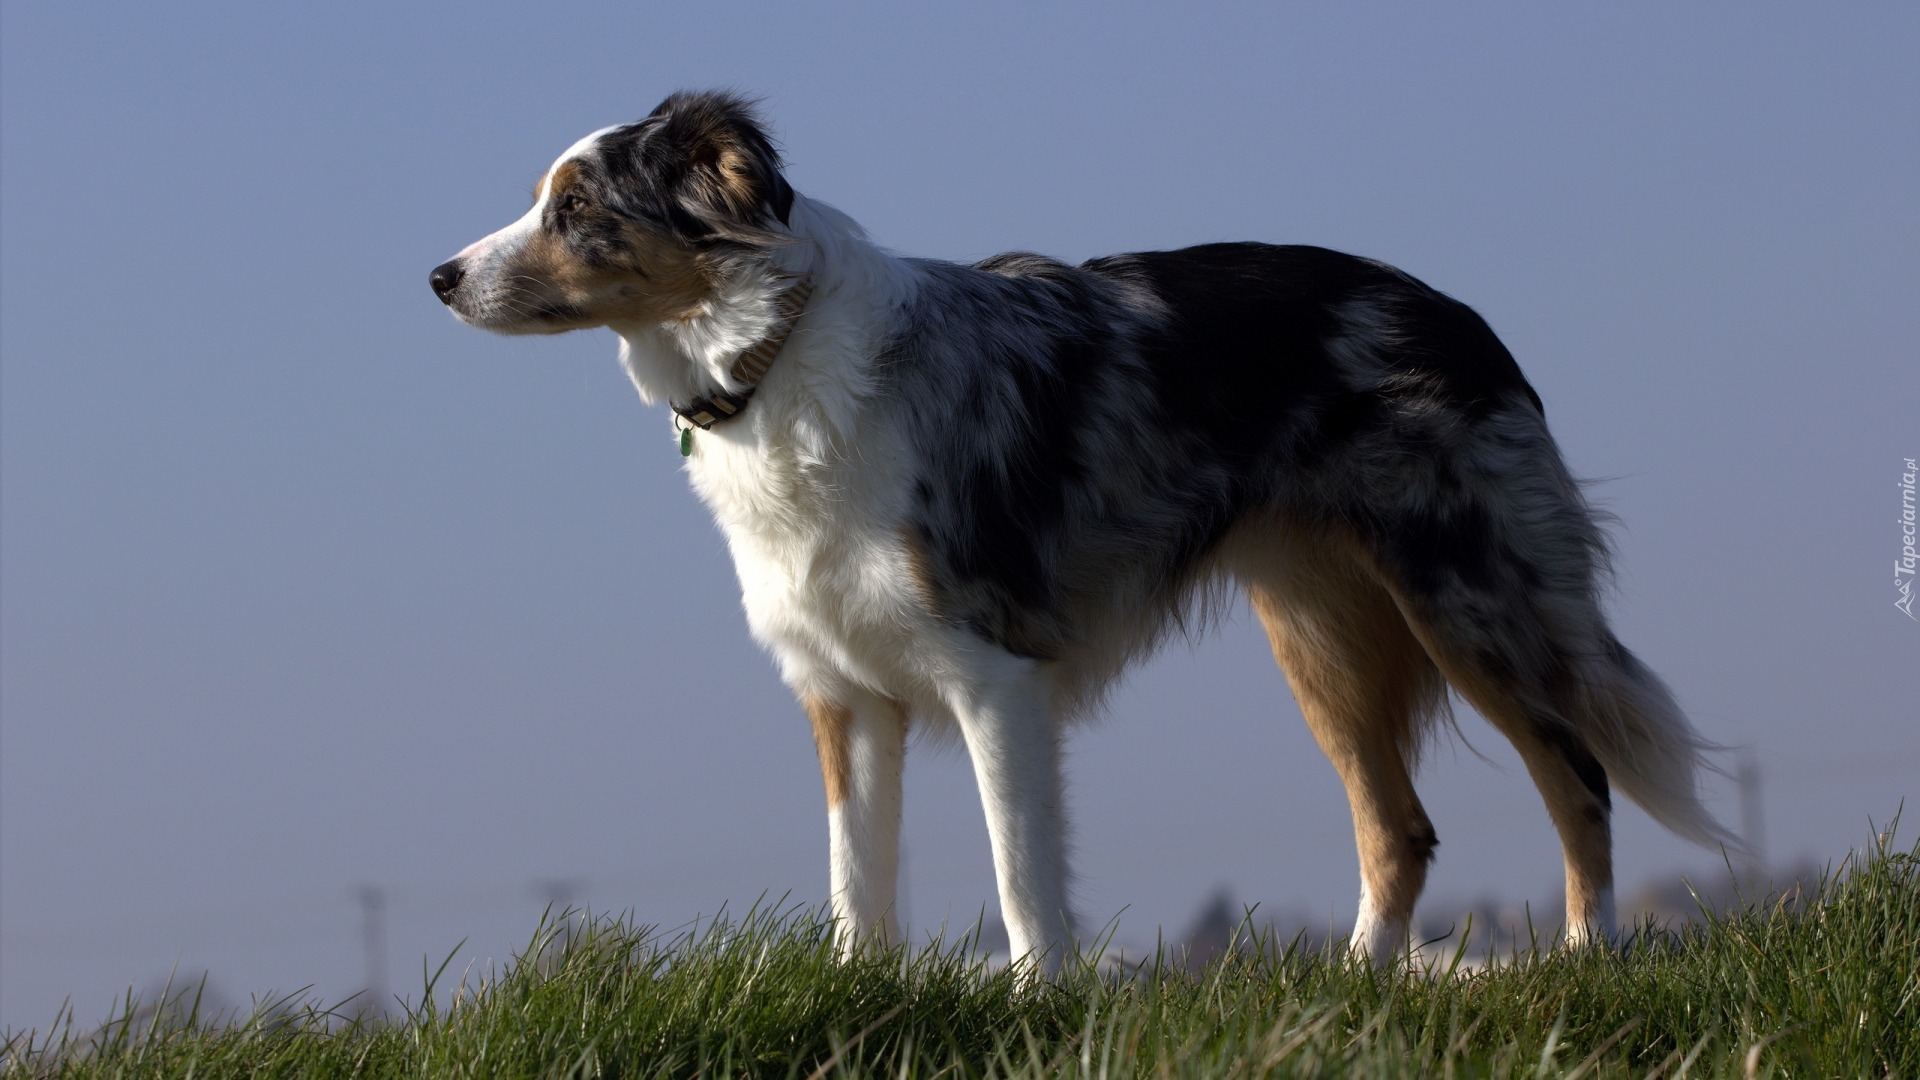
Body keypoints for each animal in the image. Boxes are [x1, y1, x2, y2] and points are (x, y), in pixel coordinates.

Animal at [432, 90, 1728, 968]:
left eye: (577, 206)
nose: (438, 276)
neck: (774, 358)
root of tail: (1460, 316)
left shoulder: (993, 671)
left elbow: (1020, 873)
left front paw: (1037, 1001)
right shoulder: (844, 696)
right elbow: (858, 882)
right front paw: (862, 990)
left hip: (1467, 597)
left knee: (1579, 775)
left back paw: (1588, 960)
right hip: (1320, 635)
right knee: (1400, 826)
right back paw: (1358, 986)